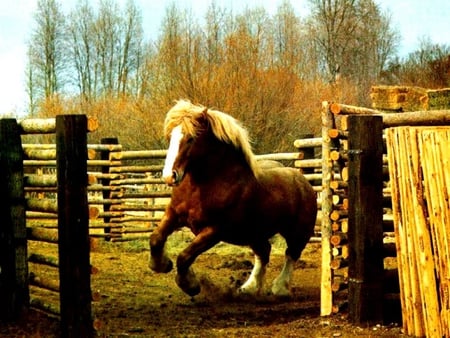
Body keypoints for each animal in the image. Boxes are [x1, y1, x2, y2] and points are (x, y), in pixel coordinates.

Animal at [149, 99, 316, 296]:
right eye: (170, 138)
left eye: (191, 138)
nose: (169, 176)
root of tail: (304, 182)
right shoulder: (174, 214)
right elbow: (156, 238)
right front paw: (162, 264)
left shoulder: (214, 230)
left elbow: (185, 256)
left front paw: (191, 285)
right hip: (255, 233)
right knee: (264, 253)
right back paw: (249, 288)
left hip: (298, 232)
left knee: (291, 254)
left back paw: (279, 288)